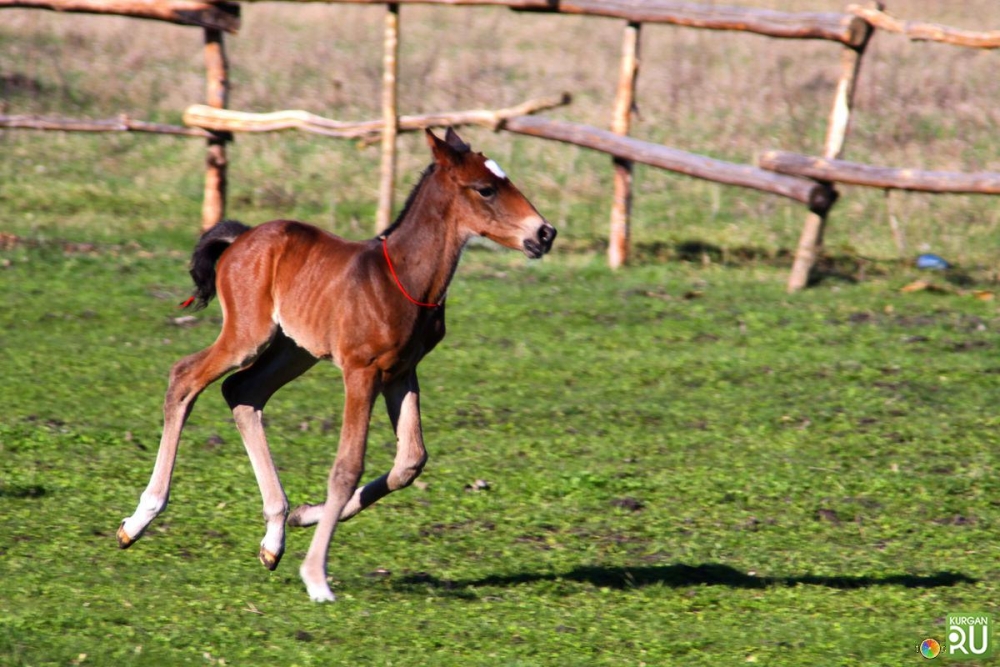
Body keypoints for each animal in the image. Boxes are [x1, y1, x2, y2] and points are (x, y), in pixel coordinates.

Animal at [118, 128, 560, 604]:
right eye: (486, 189)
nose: (545, 233)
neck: (403, 279)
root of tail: (242, 237)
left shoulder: (402, 372)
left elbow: (410, 461)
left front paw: (305, 515)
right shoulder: (361, 371)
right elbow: (347, 467)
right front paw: (316, 577)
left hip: (295, 349)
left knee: (243, 392)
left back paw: (275, 534)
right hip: (247, 335)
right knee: (185, 377)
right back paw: (139, 520)